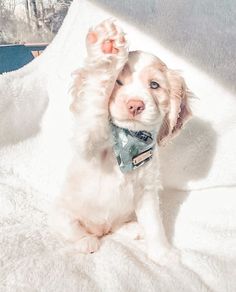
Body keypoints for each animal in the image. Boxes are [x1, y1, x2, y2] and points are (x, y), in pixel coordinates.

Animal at [50, 20, 192, 262]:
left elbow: (154, 225)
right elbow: (94, 108)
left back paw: (132, 228)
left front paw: (162, 254)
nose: (135, 105)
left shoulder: (147, 191)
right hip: (62, 212)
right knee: (72, 229)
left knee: (116, 226)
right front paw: (105, 52)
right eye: (117, 81)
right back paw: (86, 241)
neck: (129, 141)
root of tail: (101, 230)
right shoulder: (87, 142)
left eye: (154, 85)